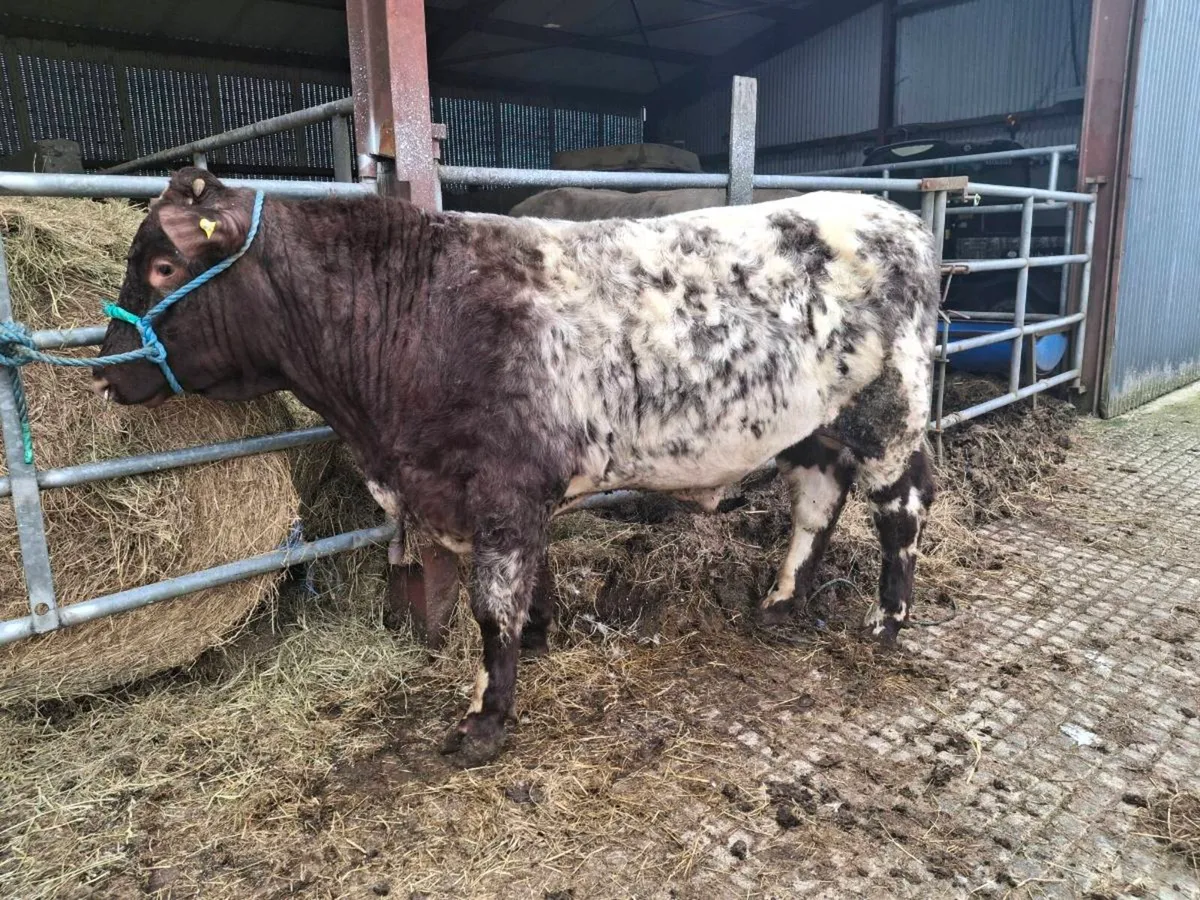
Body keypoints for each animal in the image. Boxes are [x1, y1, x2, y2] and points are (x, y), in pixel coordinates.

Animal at [93, 168, 939, 766]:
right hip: (816, 426)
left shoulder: (500, 488)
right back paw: (782, 602)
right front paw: (535, 638)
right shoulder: (498, 495)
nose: (105, 375)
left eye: (164, 265)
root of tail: (896, 217)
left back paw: (887, 620)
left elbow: (489, 601)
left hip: (889, 413)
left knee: (903, 506)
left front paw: (484, 717)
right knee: (817, 503)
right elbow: (528, 578)